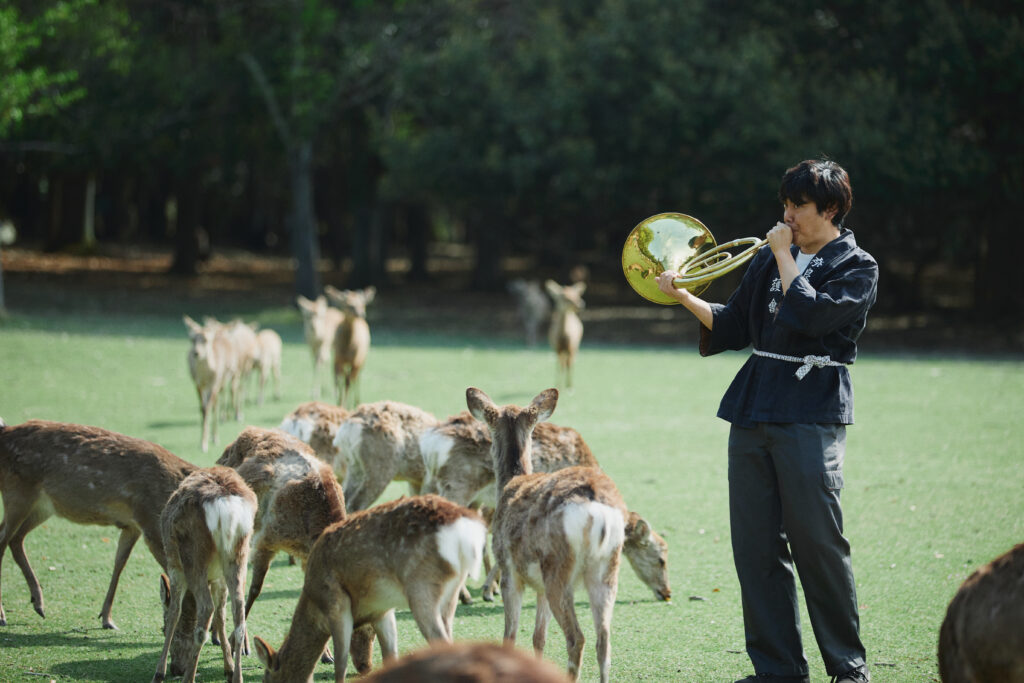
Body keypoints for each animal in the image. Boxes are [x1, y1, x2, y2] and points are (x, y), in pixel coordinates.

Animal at [152, 466, 257, 683]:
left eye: (162, 628)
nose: (176, 668)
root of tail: (226, 504)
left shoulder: (175, 568)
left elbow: (174, 612)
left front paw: (159, 672)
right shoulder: (218, 578)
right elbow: (221, 615)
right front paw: (228, 668)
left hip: (193, 554)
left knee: (206, 608)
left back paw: (188, 678)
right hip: (239, 555)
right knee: (238, 612)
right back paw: (238, 676)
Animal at [251, 494, 487, 682]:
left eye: (267, 677)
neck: (313, 603)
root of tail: (465, 529)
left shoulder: (336, 603)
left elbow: (340, 664)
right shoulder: (382, 612)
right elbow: (390, 657)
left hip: (422, 586)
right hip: (451, 591)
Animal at [419, 411, 671, 604]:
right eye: (661, 558)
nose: (667, 592)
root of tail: (431, 440)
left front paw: (491, 588)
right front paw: (489, 590)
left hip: (436, 484)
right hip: (459, 486)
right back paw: (462, 596)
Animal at [466, 387, 626, 683]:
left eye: (489, 433)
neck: (510, 483)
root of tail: (597, 508)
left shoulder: (509, 569)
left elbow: (510, 636)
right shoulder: (538, 584)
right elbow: (538, 637)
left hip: (558, 568)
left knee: (577, 638)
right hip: (607, 568)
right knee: (604, 640)